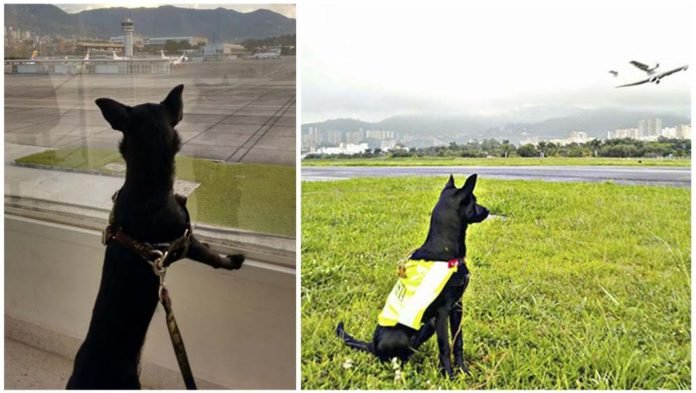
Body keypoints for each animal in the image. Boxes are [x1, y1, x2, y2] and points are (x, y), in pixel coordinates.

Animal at [338, 173, 490, 376]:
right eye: (474, 201)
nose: (488, 210)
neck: (445, 248)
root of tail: (372, 345)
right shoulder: (443, 312)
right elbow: (445, 347)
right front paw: (449, 375)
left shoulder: (457, 306)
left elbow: (458, 341)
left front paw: (463, 370)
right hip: (414, 330)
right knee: (392, 357)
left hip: (429, 324)